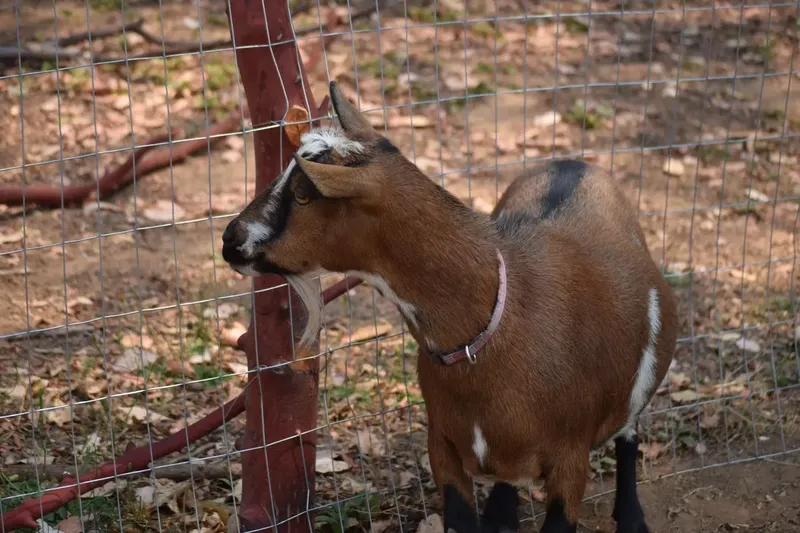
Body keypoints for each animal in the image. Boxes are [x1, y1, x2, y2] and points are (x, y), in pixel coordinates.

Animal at [221, 81, 678, 533]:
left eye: (303, 195)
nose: (230, 238)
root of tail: (575, 163)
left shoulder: (570, 459)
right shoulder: (441, 444)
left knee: (629, 434)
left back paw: (632, 519)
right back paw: (501, 513)